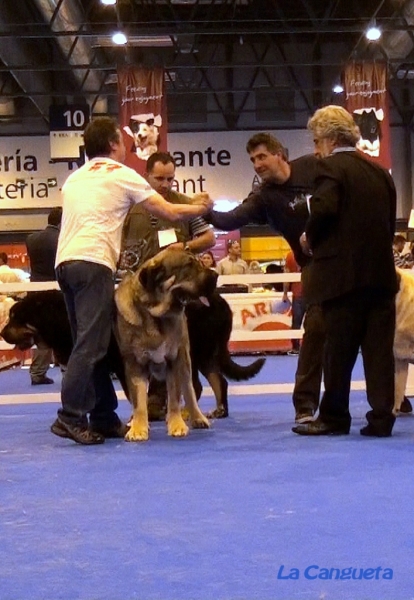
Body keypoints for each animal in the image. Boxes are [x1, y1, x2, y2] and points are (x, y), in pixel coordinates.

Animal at [114, 248, 217, 440]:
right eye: (188, 265)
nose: (216, 274)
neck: (154, 312)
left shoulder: (174, 359)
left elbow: (175, 397)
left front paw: (177, 425)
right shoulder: (134, 364)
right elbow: (139, 400)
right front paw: (138, 428)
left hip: (185, 359)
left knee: (189, 389)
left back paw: (197, 417)